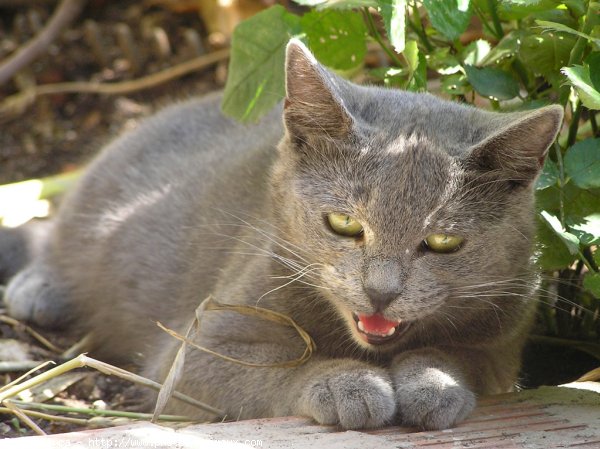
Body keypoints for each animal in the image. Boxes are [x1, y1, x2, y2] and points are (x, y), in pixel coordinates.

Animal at [1, 40, 564, 428]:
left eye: (444, 242)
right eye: (344, 223)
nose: (381, 292)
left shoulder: (507, 331)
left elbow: (464, 355)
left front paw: (434, 384)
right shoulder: (197, 347)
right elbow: (271, 369)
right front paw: (345, 384)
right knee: (53, 230)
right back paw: (40, 288)